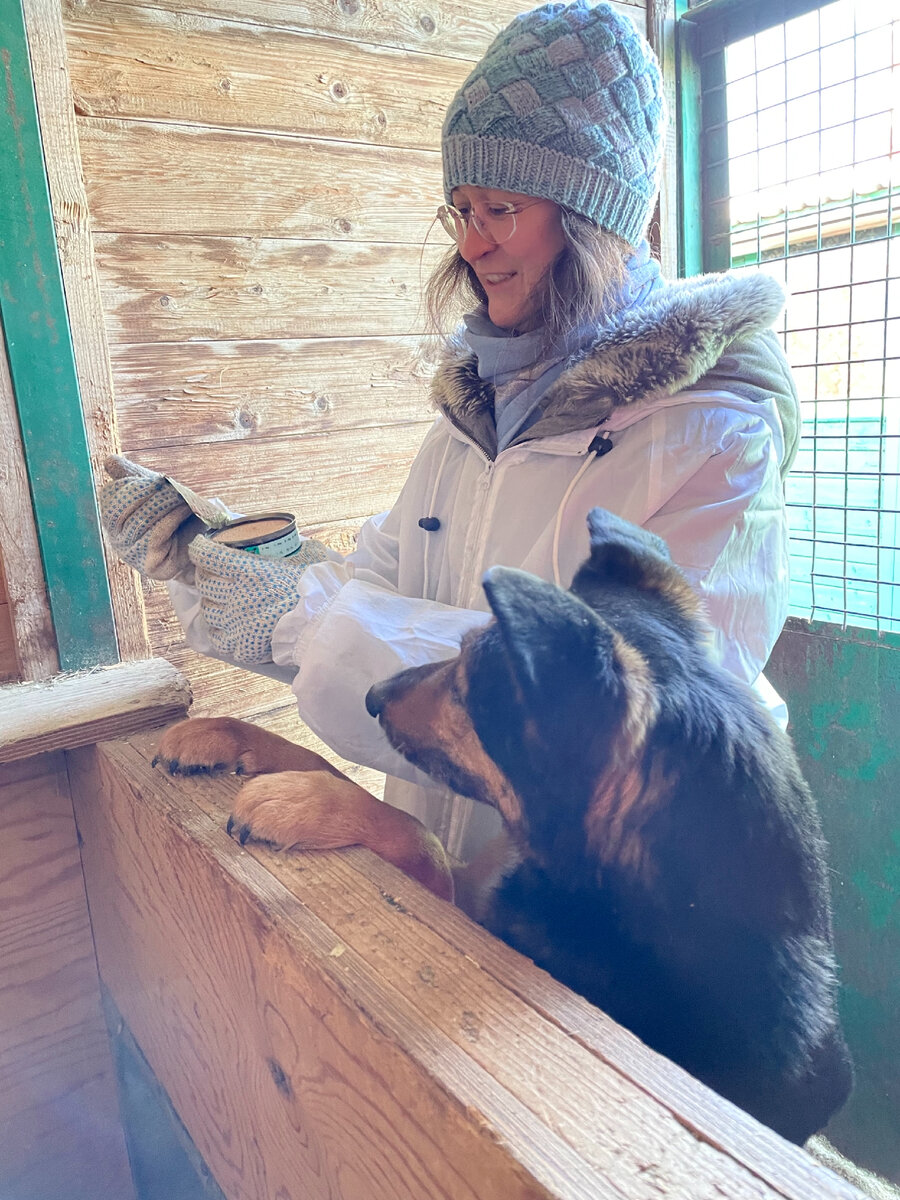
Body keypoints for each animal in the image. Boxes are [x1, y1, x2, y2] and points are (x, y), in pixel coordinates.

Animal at [154, 508, 853, 1144]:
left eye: (468, 685)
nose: (371, 697)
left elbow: (417, 834)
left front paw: (296, 801)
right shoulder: (473, 886)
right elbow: (333, 769)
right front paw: (229, 736)